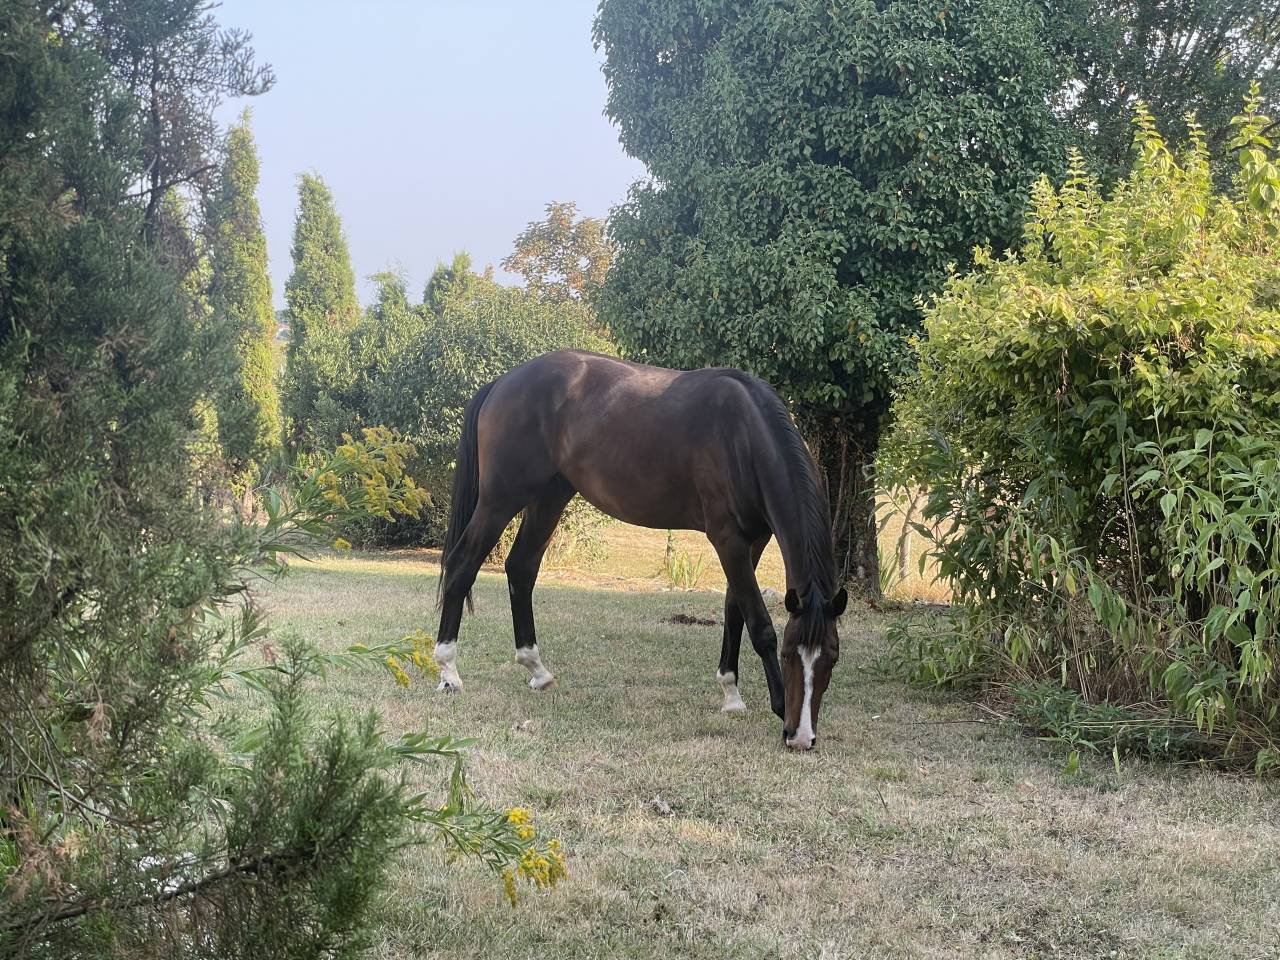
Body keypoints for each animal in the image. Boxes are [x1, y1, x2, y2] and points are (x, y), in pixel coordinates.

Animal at [432, 350, 847, 750]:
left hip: (550, 496)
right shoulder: (728, 539)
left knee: (521, 567)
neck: (743, 436)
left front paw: (731, 694)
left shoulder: (754, 539)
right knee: (462, 566)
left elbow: (735, 609)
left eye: (831, 658)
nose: (801, 737)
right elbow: (759, 623)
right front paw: (775, 704)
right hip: (500, 500)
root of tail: (501, 383)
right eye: (789, 654)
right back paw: (449, 671)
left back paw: (537, 669)